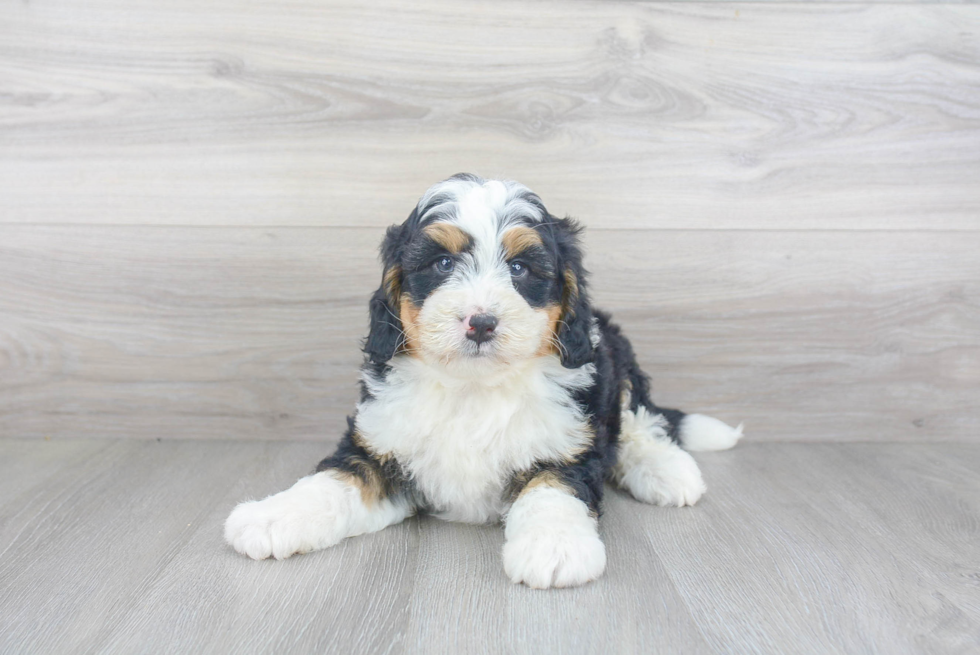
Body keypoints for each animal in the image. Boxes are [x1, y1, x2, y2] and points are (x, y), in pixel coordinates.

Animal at [224, 173, 744, 588]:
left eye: (519, 268)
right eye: (442, 264)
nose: (481, 322)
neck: (471, 388)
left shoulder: (566, 447)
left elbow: (550, 490)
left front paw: (555, 547)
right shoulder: (378, 445)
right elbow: (334, 482)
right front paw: (271, 517)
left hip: (616, 357)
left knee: (640, 421)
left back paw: (667, 470)